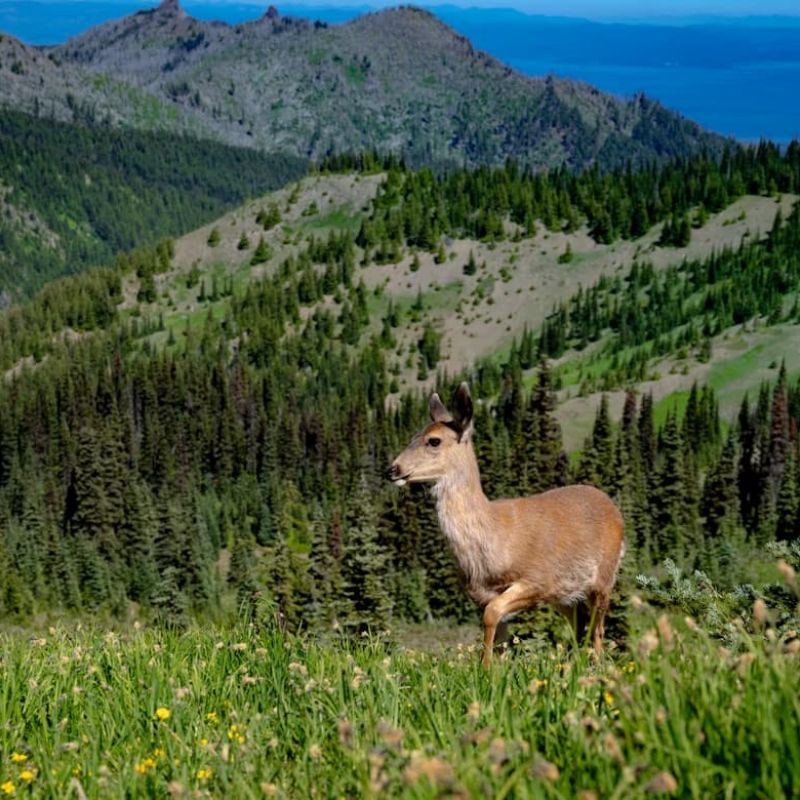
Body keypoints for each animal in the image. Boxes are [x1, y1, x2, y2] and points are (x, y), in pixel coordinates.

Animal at [387, 383, 625, 668]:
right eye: (413, 435)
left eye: (434, 440)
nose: (392, 469)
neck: (493, 536)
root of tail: (613, 507)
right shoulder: (486, 593)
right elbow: (497, 631)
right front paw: (493, 669)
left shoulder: (537, 579)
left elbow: (491, 615)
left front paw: (484, 668)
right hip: (566, 594)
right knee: (579, 625)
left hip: (604, 576)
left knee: (598, 627)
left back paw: (597, 666)